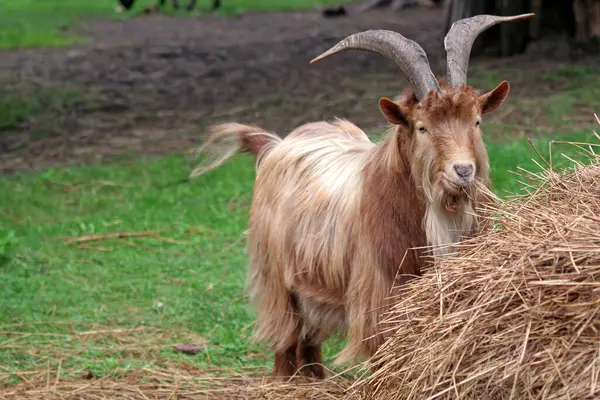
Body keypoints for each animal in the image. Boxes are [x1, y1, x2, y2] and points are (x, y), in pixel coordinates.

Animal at [189, 14, 536, 380]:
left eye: (477, 121)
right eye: (422, 127)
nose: (463, 170)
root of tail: (274, 145)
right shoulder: (378, 297)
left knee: (309, 339)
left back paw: (315, 380)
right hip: (276, 278)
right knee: (285, 335)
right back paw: (285, 381)